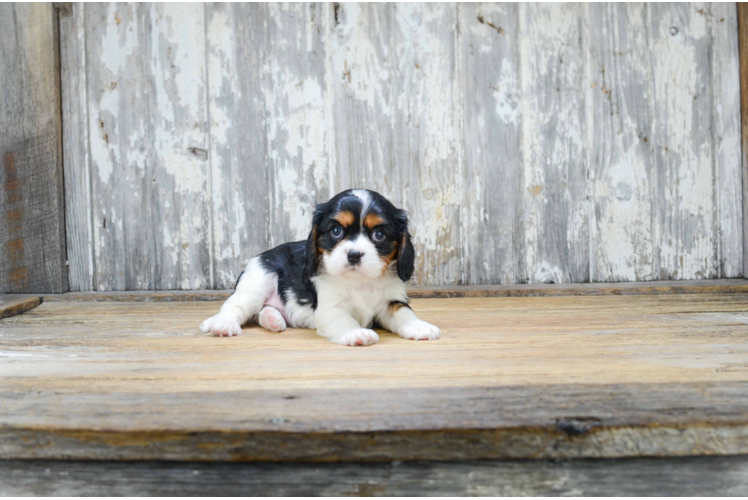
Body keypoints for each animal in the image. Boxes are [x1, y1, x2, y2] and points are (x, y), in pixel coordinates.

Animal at [202, 189, 442, 346]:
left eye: (379, 235)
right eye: (336, 231)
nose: (354, 254)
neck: (359, 281)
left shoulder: (392, 300)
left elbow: (404, 313)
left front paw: (419, 326)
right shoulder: (330, 307)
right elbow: (343, 319)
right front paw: (356, 333)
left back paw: (272, 319)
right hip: (258, 281)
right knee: (235, 307)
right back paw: (223, 325)